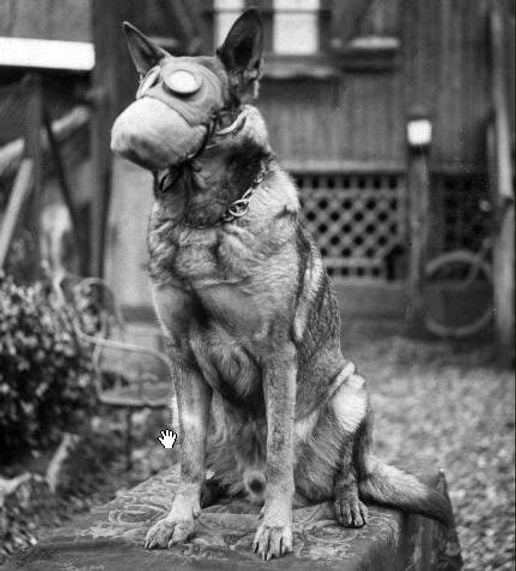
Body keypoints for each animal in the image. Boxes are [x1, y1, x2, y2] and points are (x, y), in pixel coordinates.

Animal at [110, 10, 452, 564]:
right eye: (147, 86)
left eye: (186, 89)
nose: (136, 119)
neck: (204, 219)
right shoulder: (181, 356)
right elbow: (187, 459)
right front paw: (180, 519)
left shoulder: (276, 356)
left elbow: (277, 456)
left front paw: (275, 527)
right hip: (180, 402)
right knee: (211, 465)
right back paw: (210, 492)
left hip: (351, 389)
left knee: (346, 473)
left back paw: (345, 504)